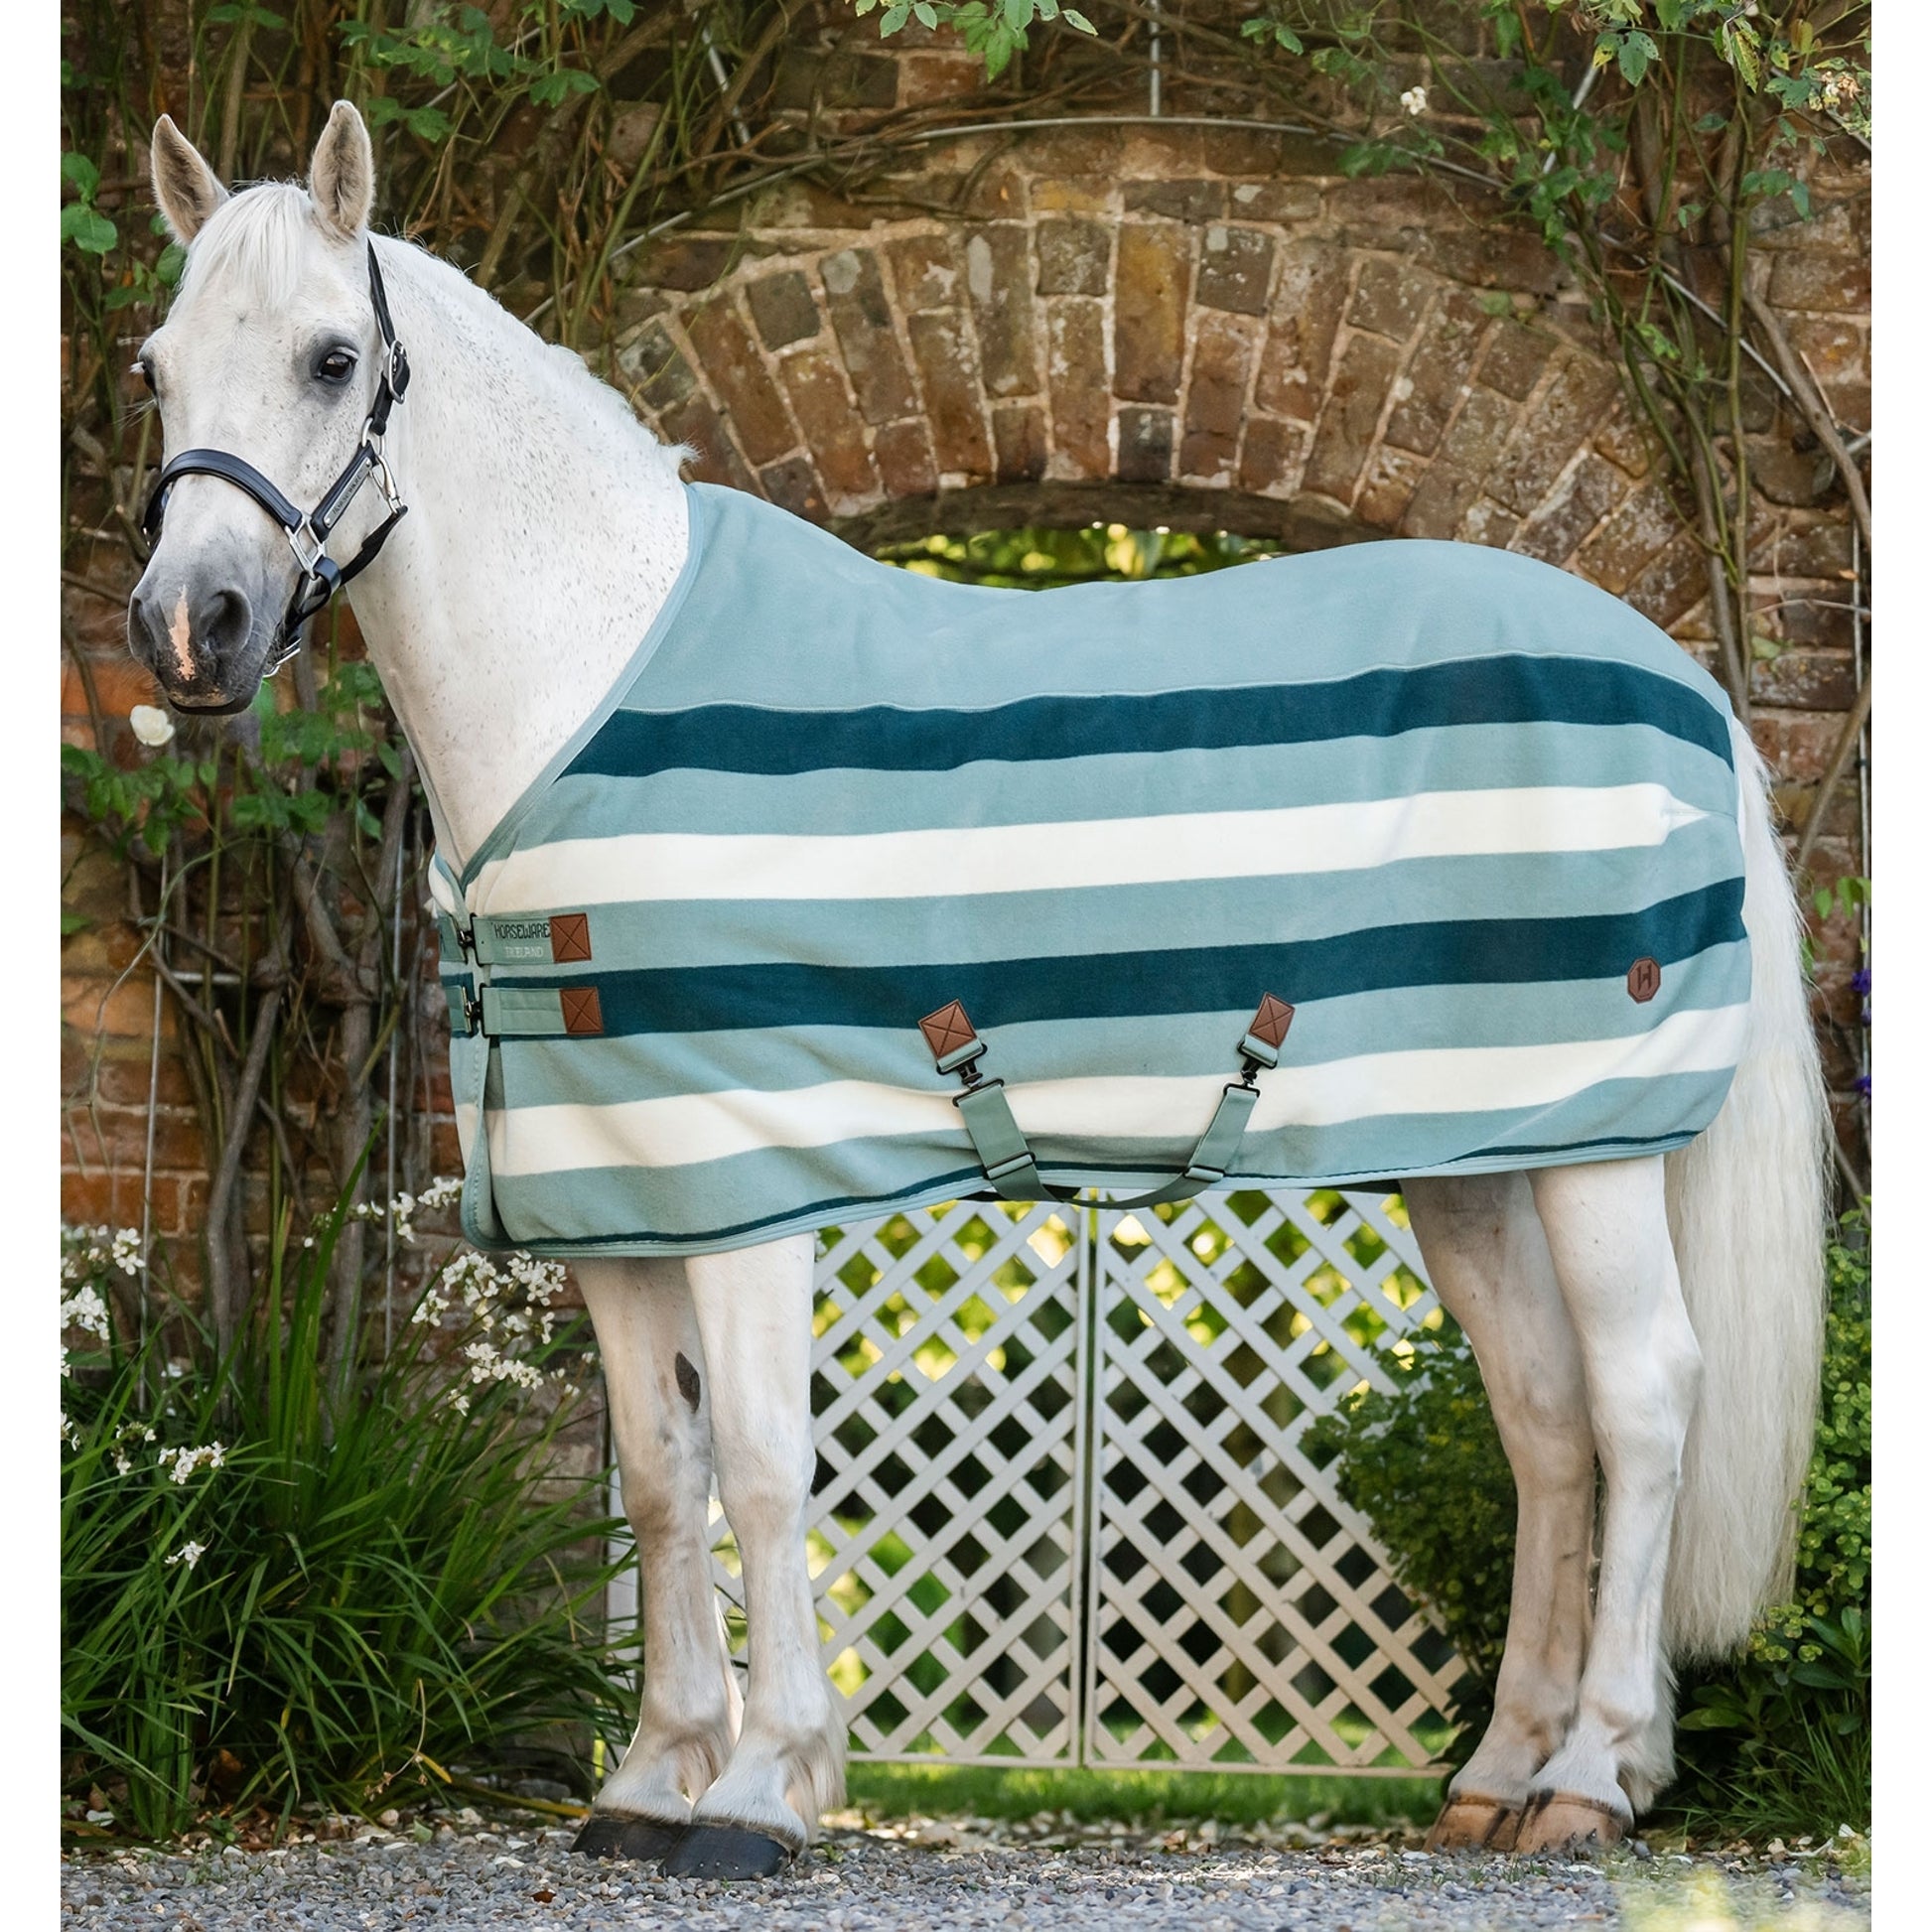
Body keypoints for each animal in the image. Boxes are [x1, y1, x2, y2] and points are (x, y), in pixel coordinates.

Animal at [126, 101, 1828, 1878]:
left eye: (331, 357)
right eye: (157, 367)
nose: (191, 627)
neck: (584, 682)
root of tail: (1677, 674)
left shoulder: (749, 1173)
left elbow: (759, 1464)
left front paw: (762, 1788)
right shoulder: (615, 1192)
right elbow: (661, 1476)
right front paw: (651, 1776)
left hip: (1596, 1147)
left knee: (1642, 1402)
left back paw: (1596, 1771)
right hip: (1474, 1159)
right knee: (1545, 1422)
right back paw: (1502, 1770)